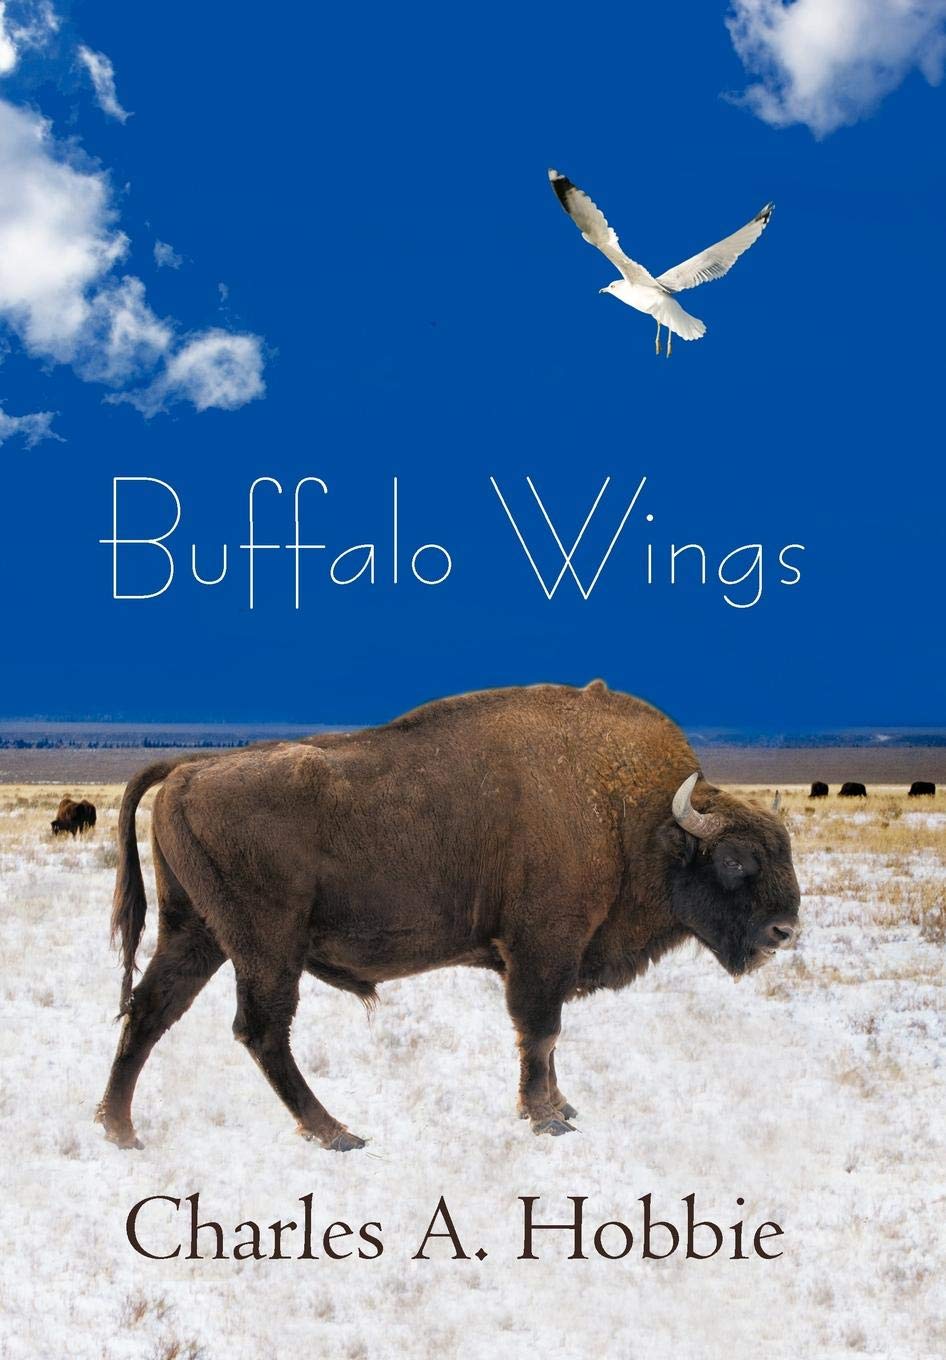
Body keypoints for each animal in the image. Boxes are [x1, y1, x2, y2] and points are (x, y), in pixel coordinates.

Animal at [97, 682, 801, 1152]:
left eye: (783, 849)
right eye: (734, 859)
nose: (784, 931)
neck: (635, 817)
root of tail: (191, 767)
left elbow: (547, 1038)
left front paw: (562, 1107)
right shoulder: (543, 949)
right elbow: (540, 1031)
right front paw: (545, 1118)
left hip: (197, 933)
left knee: (151, 1011)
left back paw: (120, 1130)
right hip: (267, 946)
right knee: (260, 1030)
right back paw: (338, 1133)